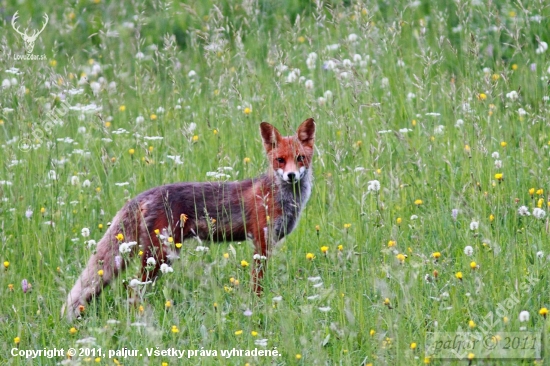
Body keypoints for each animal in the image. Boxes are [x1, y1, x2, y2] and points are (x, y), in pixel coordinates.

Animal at [63, 118, 316, 320]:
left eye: (300, 158)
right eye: (280, 160)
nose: (291, 176)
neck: (279, 197)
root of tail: (144, 194)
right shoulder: (260, 243)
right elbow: (258, 284)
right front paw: (257, 305)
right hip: (159, 255)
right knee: (133, 289)